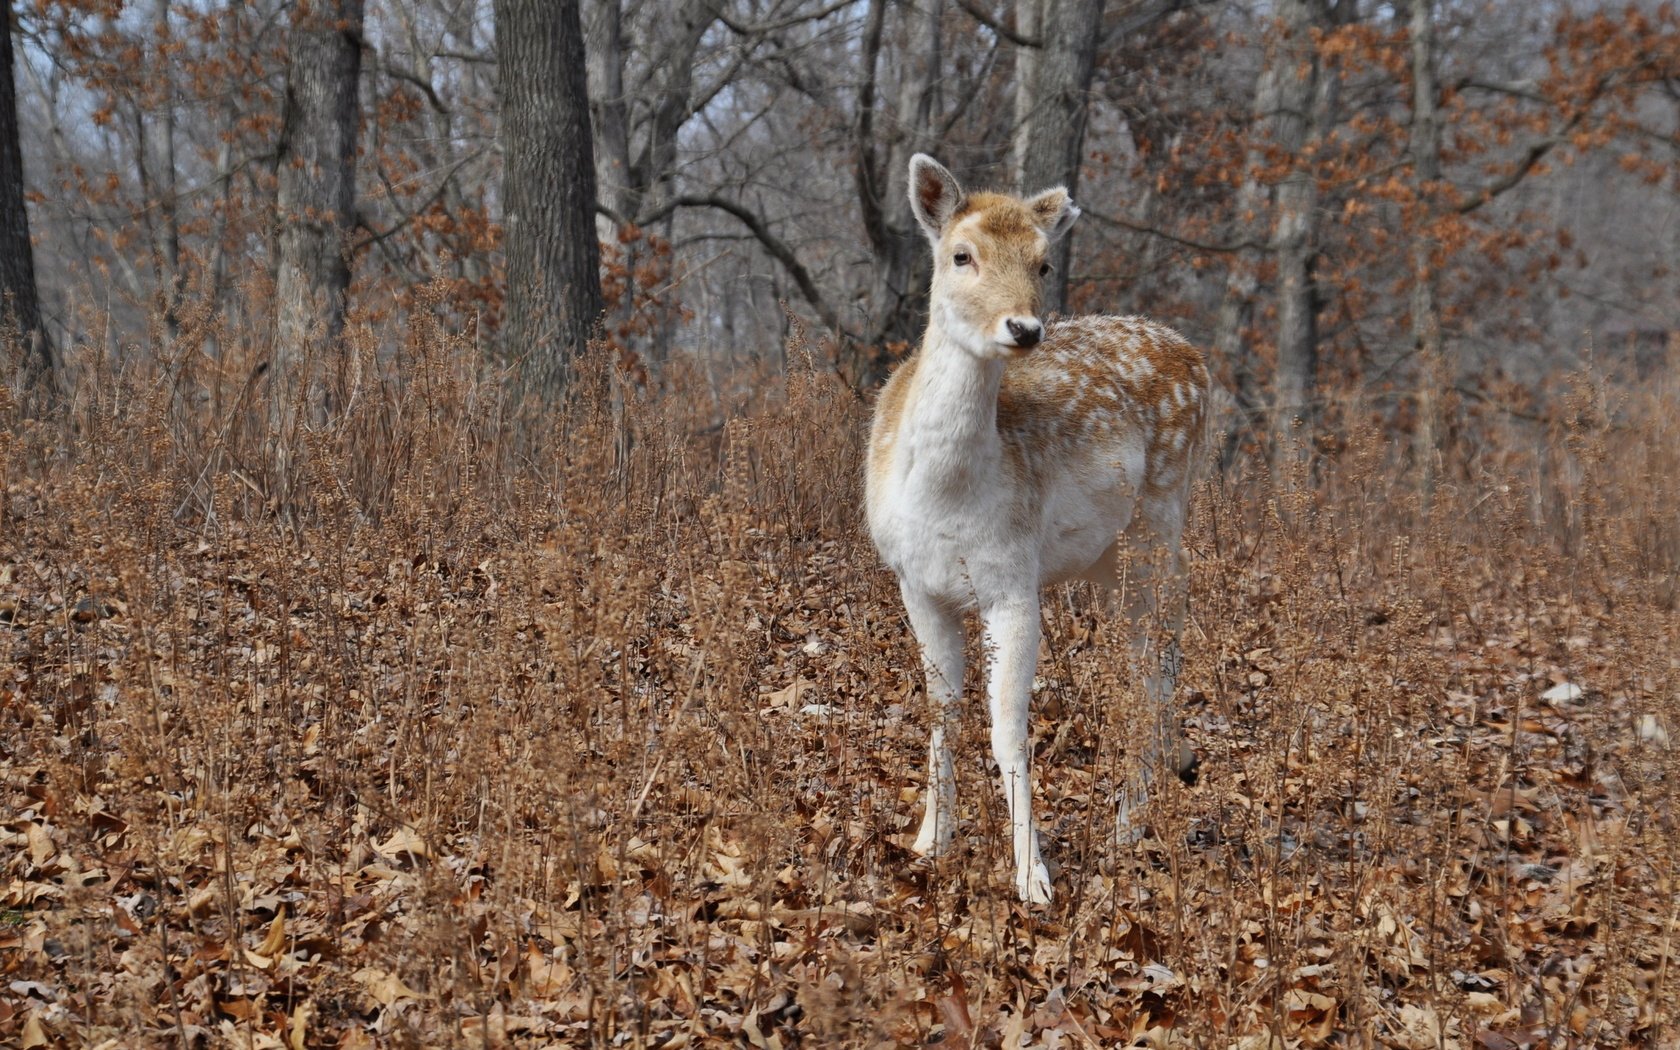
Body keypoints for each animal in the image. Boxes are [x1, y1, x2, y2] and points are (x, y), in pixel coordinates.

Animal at [866, 153, 1209, 900]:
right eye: (960, 255)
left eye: (1044, 262)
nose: (1023, 328)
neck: (947, 499)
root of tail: (1196, 356)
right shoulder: (916, 585)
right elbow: (941, 709)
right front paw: (930, 841)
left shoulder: (1013, 582)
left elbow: (1007, 731)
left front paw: (1033, 877)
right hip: (1107, 559)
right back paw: (1171, 771)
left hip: (1161, 518)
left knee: (1154, 659)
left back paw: (1129, 825)